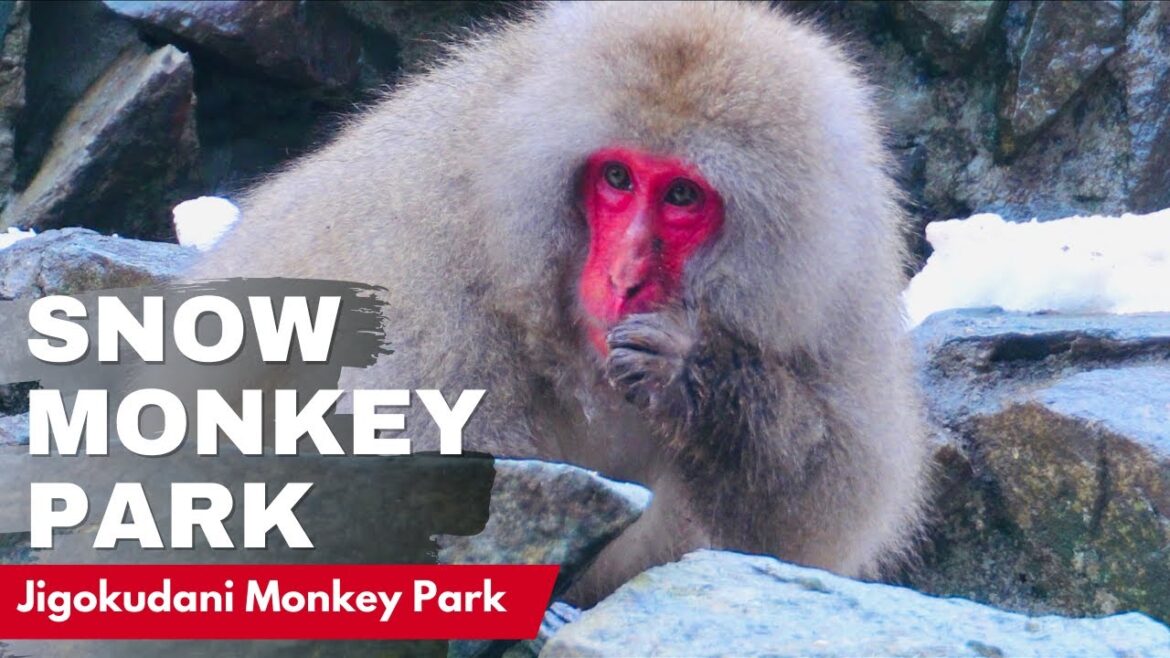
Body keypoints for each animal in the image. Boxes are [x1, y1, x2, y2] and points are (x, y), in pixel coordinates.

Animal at [192, 0, 930, 605]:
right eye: (617, 178)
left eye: (681, 195)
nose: (625, 277)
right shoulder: (426, 281)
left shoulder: (840, 279)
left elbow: (818, 509)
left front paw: (695, 372)